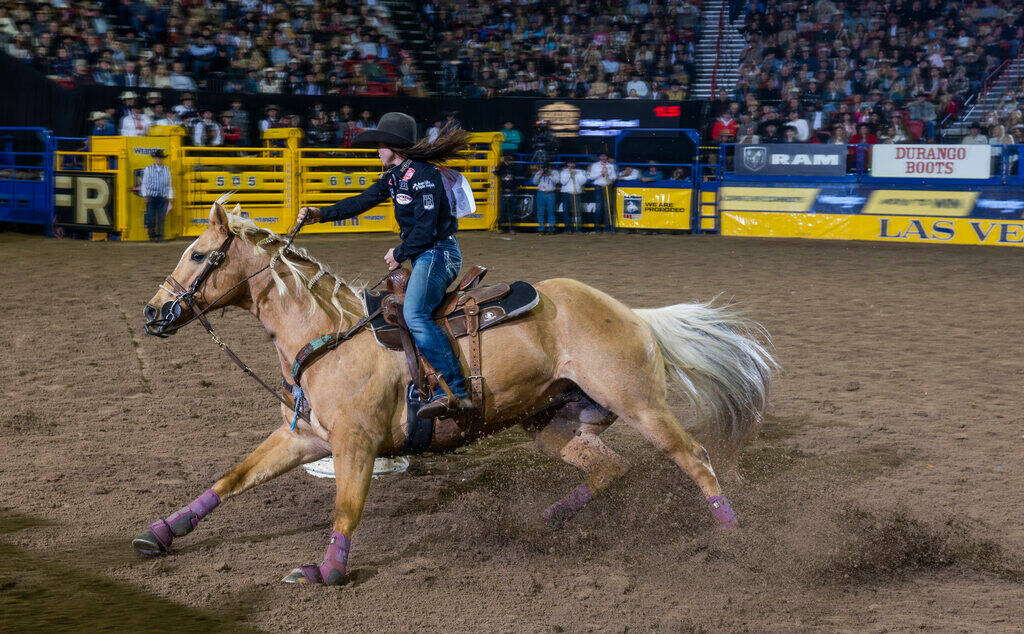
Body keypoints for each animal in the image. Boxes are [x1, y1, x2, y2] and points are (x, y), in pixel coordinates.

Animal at [138, 203, 774, 585]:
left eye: (199, 254)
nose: (152, 312)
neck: (328, 335)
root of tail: (631, 313)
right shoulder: (304, 438)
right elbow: (233, 478)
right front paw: (162, 533)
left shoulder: (356, 445)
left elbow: (346, 508)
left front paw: (325, 571)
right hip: (555, 424)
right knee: (609, 468)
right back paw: (550, 516)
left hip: (640, 404)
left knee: (694, 458)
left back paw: (733, 535)